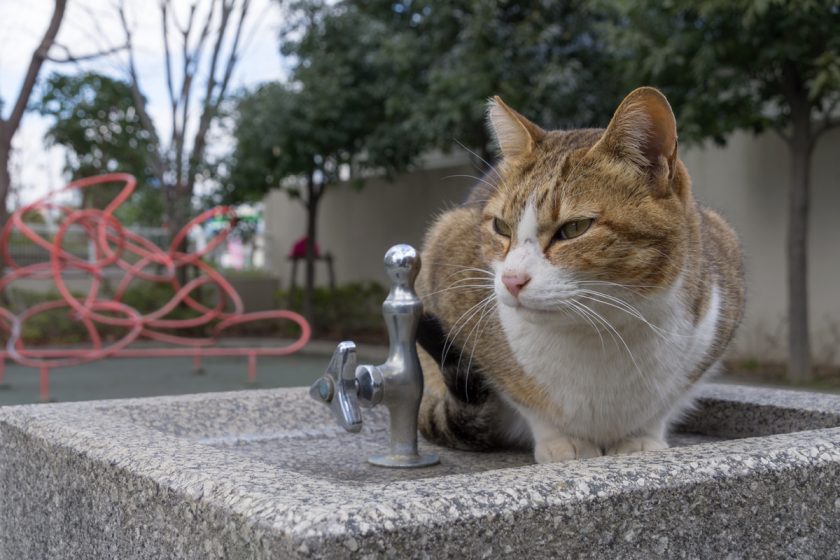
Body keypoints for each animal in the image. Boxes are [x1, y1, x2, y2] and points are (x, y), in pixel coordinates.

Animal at [416, 87, 744, 464]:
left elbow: (665, 402)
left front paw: (641, 438)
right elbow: (522, 396)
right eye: (500, 226)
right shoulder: (445, 259)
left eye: (574, 228)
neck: (602, 331)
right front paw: (562, 442)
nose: (511, 280)